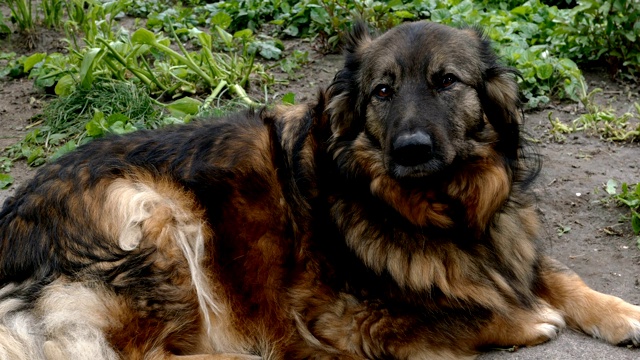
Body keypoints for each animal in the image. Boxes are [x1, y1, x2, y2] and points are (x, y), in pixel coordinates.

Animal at [1, 21, 640, 360]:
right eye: (383, 90)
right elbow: (451, 315)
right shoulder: (340, 317)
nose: (411, 149)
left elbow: (561, 278)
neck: (439, 211)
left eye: (446, 82)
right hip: (154, 214)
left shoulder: (506, 245)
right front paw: (528, 320)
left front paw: (623, 312)